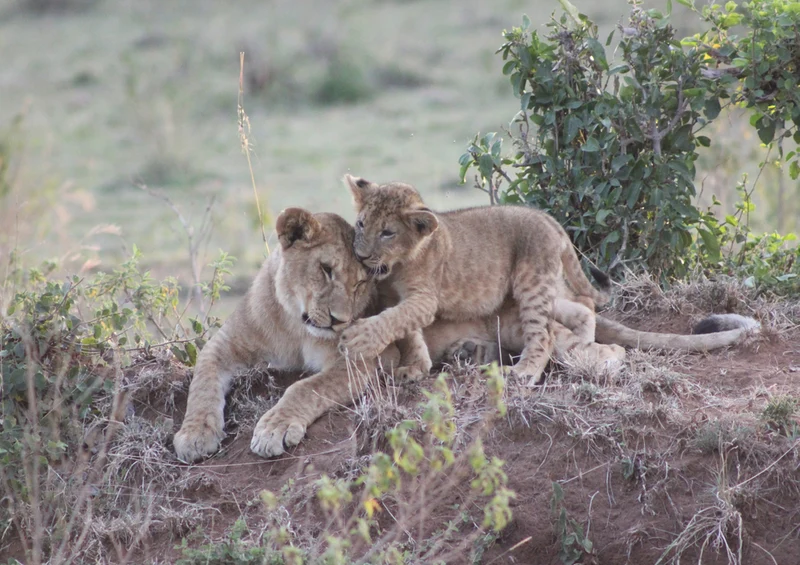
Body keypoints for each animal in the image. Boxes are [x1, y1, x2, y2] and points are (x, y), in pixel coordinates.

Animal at [339, 175, 611, 385]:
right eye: (361, 224)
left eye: (387, 233)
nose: (361, 257)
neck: (396, 267)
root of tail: (548, 220)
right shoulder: (392, 297)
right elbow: (406, 332)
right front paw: (415, 368)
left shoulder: (424, 298)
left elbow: (395, 320)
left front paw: (358, 340)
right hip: (540, 289)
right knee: (584, 304)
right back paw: (583, 346)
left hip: (532, 283)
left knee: (545, 335)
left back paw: (524, 372)